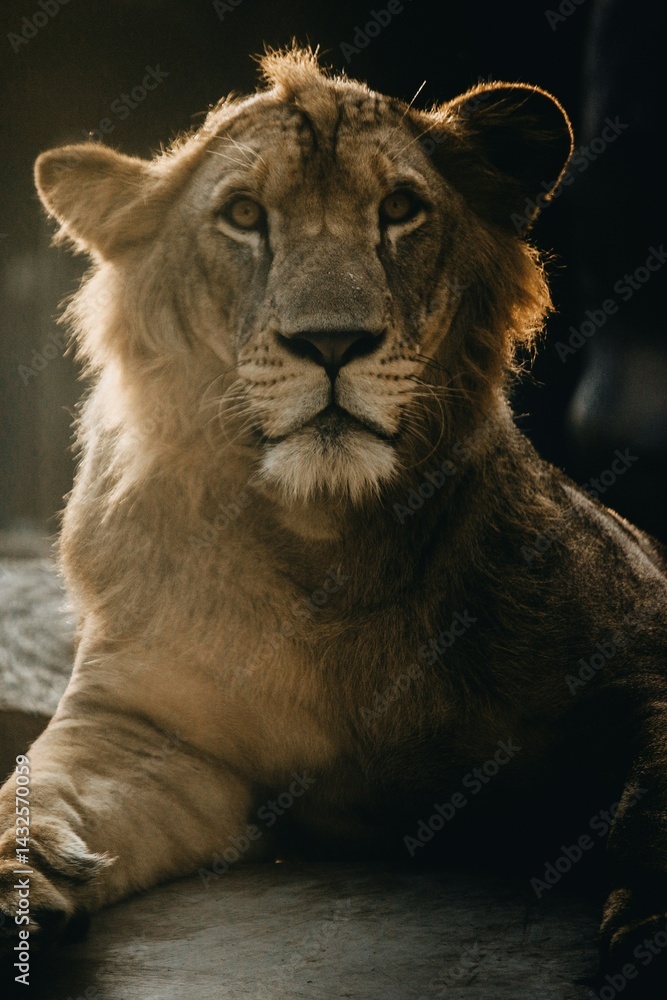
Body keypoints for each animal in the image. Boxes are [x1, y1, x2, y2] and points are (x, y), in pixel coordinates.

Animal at [1, 46, 666, 993]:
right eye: (244, 215)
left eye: (399, 209)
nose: (331, 344)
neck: (324, 542)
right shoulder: (142, 727)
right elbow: (41, 786)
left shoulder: (638, 650)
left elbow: (655, 795)